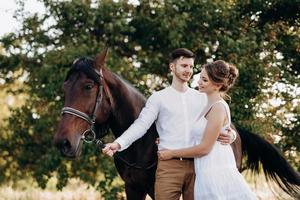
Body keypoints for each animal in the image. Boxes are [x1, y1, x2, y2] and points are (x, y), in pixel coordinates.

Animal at [54, 49, 300, 199]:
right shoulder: (133, 188)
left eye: (88, 86)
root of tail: (236, 132)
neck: (142, 144)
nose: (63, 143)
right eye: (65, 87)